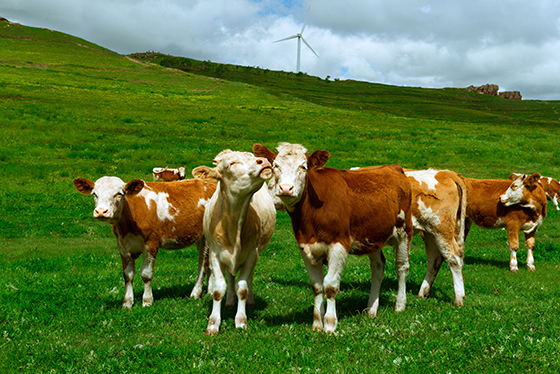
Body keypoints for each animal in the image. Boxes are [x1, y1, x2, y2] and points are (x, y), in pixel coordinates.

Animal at [72, 177, 217, 308]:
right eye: (94, 194)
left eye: (119, 194)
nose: (101, 211)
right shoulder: (122, 245)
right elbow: (128, 275)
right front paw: (127, 303)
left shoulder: (151, 243)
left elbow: (146, 274)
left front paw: (147, 301)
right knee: (210, 264)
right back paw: (210, 291)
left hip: (205, 237)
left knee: (203, 265)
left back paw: (195, 293)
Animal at [192, 150, 278, 334]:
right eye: (231, 164)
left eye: (252, 157)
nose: (263, 161)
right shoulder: (215, 254)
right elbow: (218, 289)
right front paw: (213, 324)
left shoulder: (252, 254)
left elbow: (243, 287)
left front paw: (241, 321)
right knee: (230, 278)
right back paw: (230, 301)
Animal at [254, 142, 412, 334]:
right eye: (276, 166)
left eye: (303, 167)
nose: (285, 188)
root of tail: (394, 167)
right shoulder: (305, 246)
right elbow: (317, 286)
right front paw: (317, 323)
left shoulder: (339, 245)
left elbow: (330, 285)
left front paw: (330, 324)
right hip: (372, 236)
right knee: (378, 267)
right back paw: (371, 309)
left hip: (404, 230)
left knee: (402, 266)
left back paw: (400, 304)